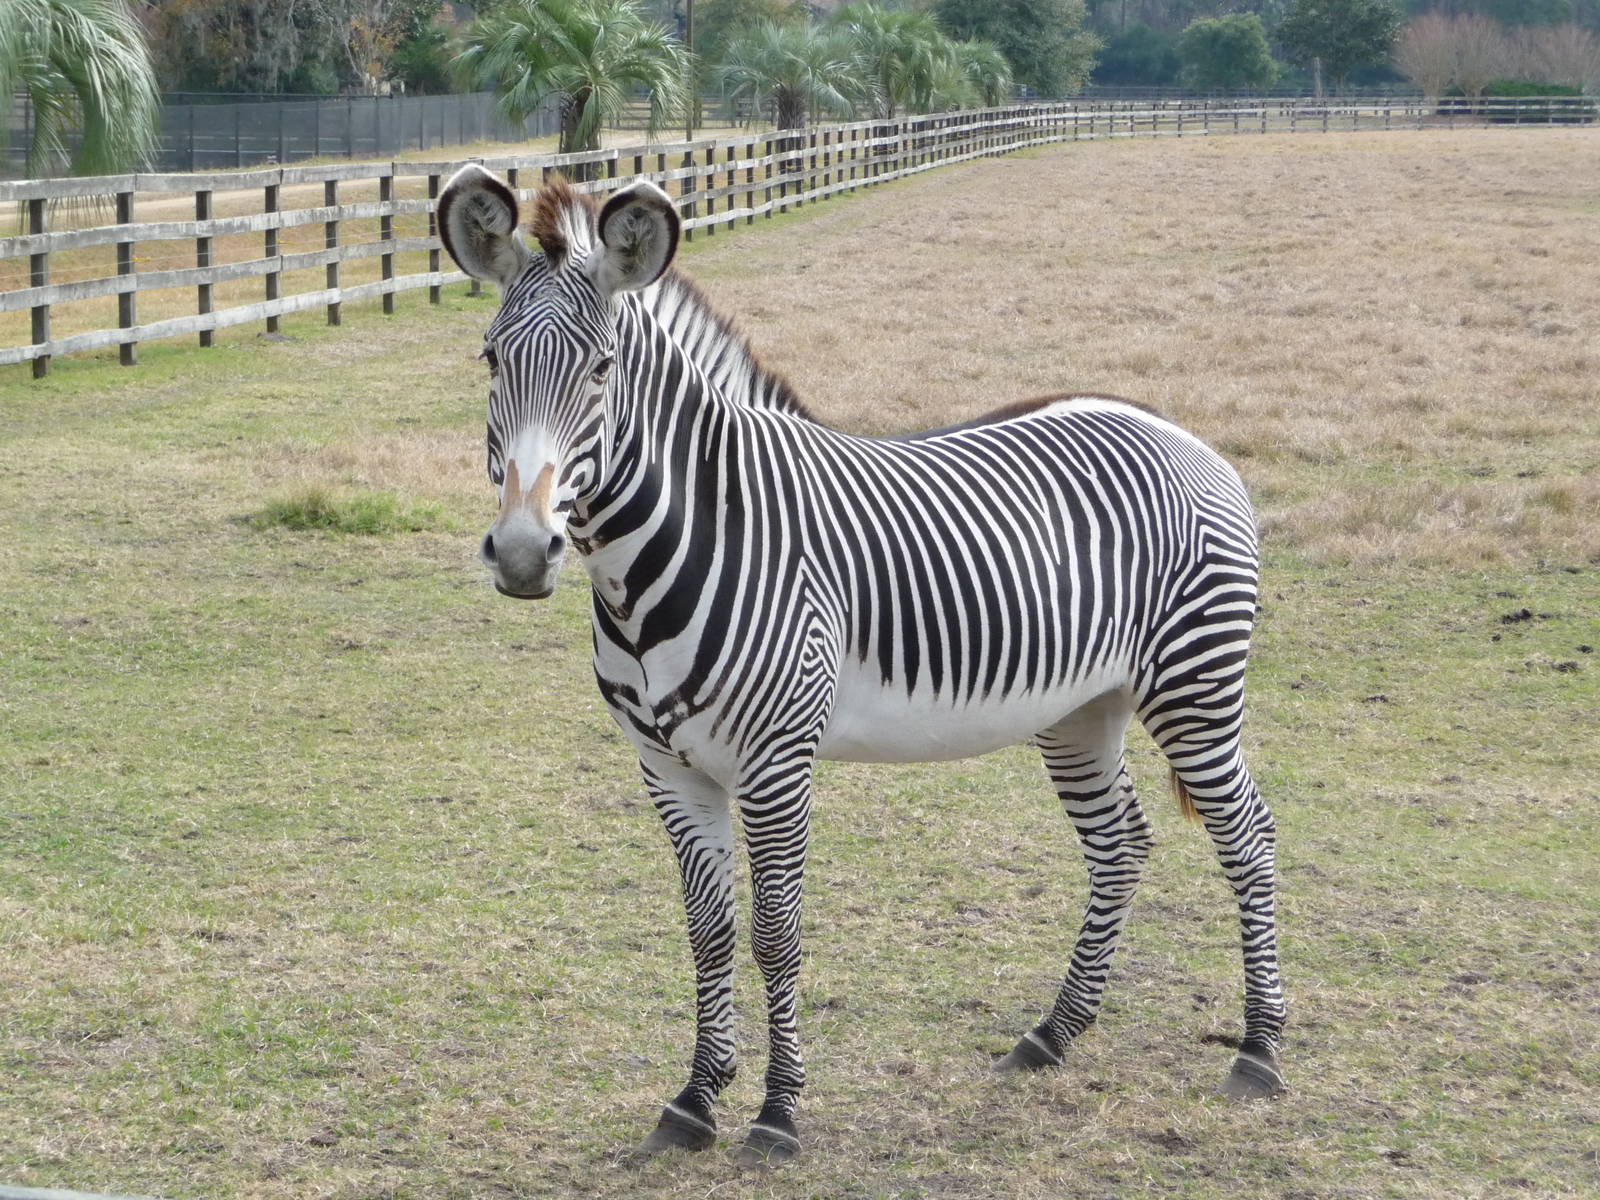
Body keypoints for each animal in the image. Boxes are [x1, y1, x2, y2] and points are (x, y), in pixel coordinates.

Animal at [436, 166, 1286, 1167]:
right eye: (492, 361)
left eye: (603, 370)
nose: (524, 554)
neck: (680, 545)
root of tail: (1176, 429)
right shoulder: (667, 767)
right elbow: (708, 932)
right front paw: (695, 1099)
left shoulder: (777, 763)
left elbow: (776, 932)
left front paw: (778, 1111)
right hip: (1083, 707)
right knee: (1119, 843)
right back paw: (1052, 1034)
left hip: (1195, 684)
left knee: (1248, 837)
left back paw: (1260, 1051)